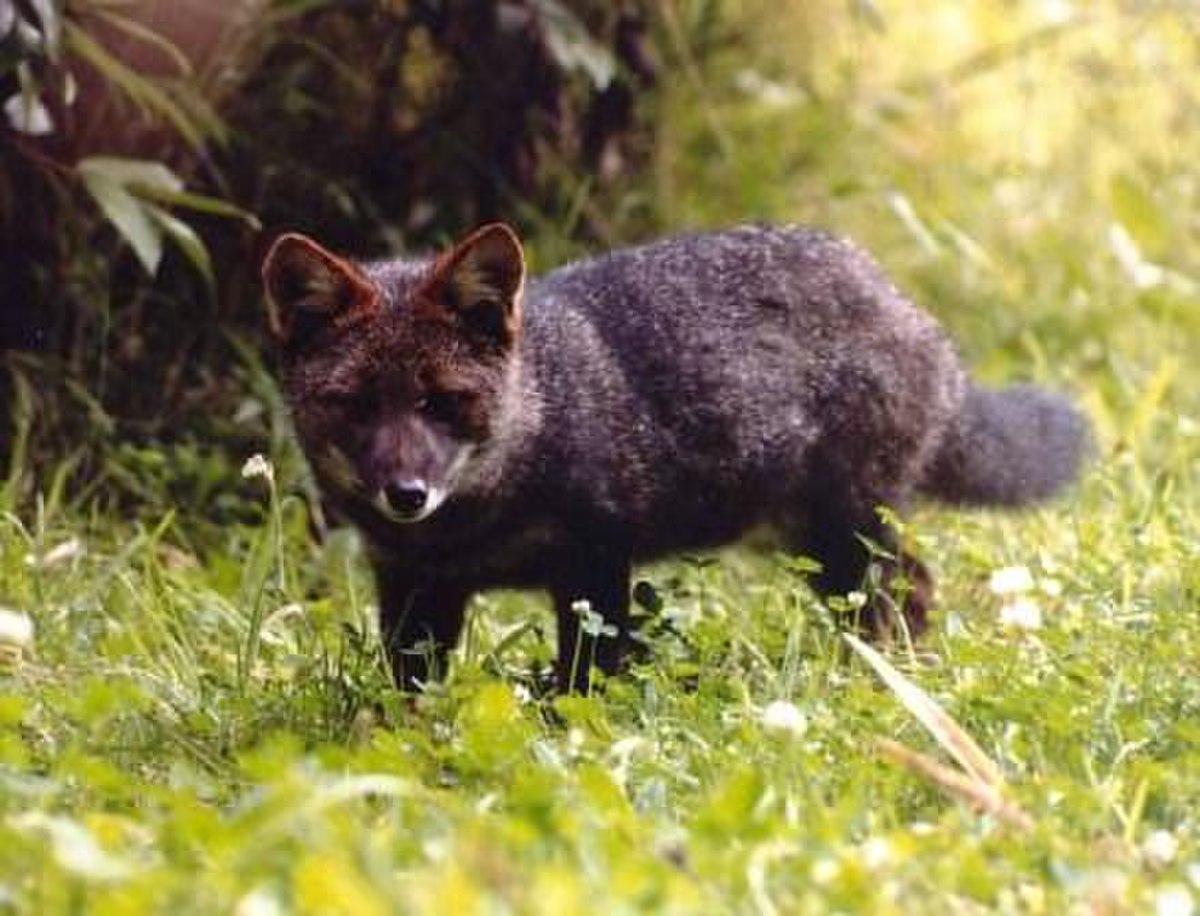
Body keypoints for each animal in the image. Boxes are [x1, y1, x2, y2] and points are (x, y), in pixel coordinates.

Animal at [261, 222, 1090, 692]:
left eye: (441, 401)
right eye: (358, 404)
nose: (406, 492)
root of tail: (914, 314)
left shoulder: (595, 565)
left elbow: (583, 684)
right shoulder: (413, 586)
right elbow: (409, 700)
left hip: (845, 537)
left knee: (905, 592)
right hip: (812, 544)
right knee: (912, 586)